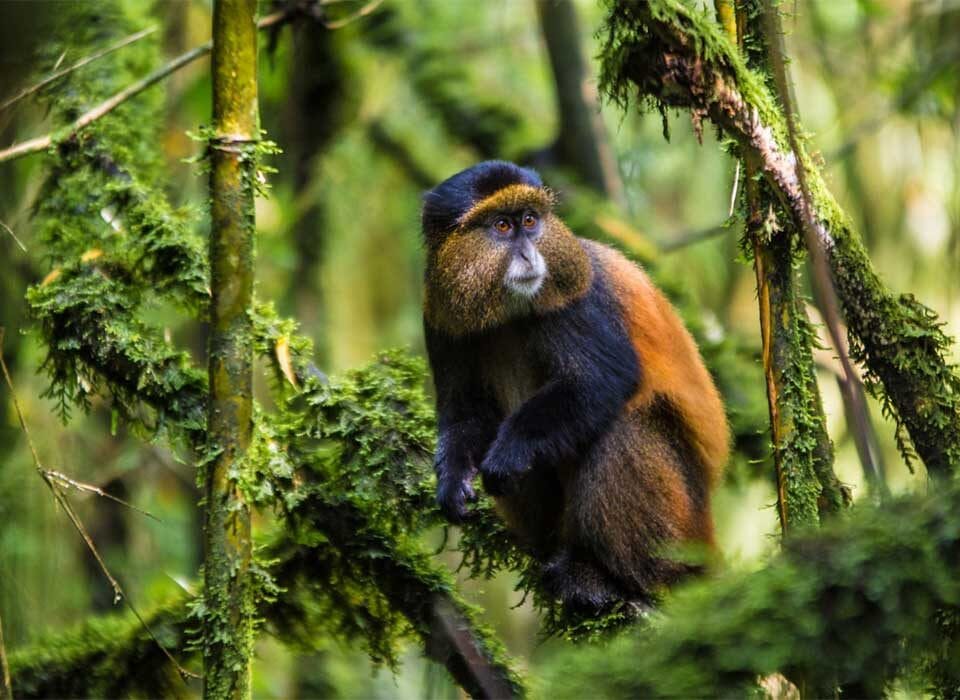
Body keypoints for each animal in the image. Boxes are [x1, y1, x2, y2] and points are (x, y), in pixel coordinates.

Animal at [421, 160, 729, 610]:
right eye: (502, 226)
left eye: (530, 221)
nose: (530, 254)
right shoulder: (440, 318)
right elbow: (466, 413)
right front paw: (452, 479)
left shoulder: (574, 298)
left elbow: (600, 381)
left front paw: (509, 452)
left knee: (623, 426)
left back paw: (608, 577)